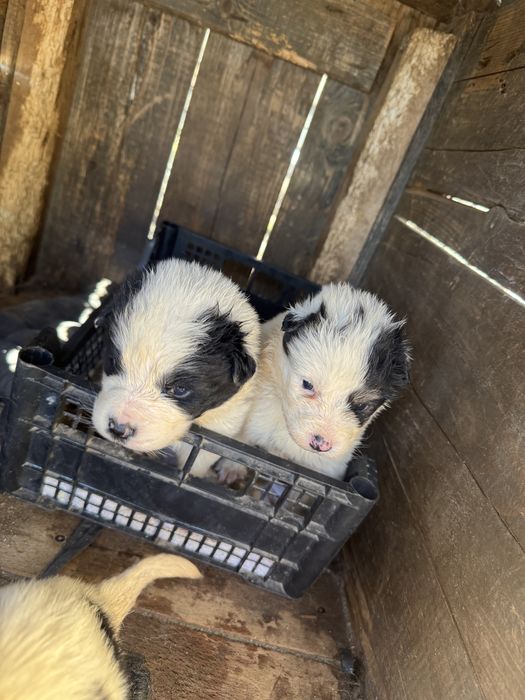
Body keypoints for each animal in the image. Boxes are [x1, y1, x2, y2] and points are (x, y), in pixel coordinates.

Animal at [229, 283, 410, 482]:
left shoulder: (332, 466)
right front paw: (232, 469)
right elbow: (241, 446)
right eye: (308, 385)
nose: (320, 444)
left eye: (362, 405)